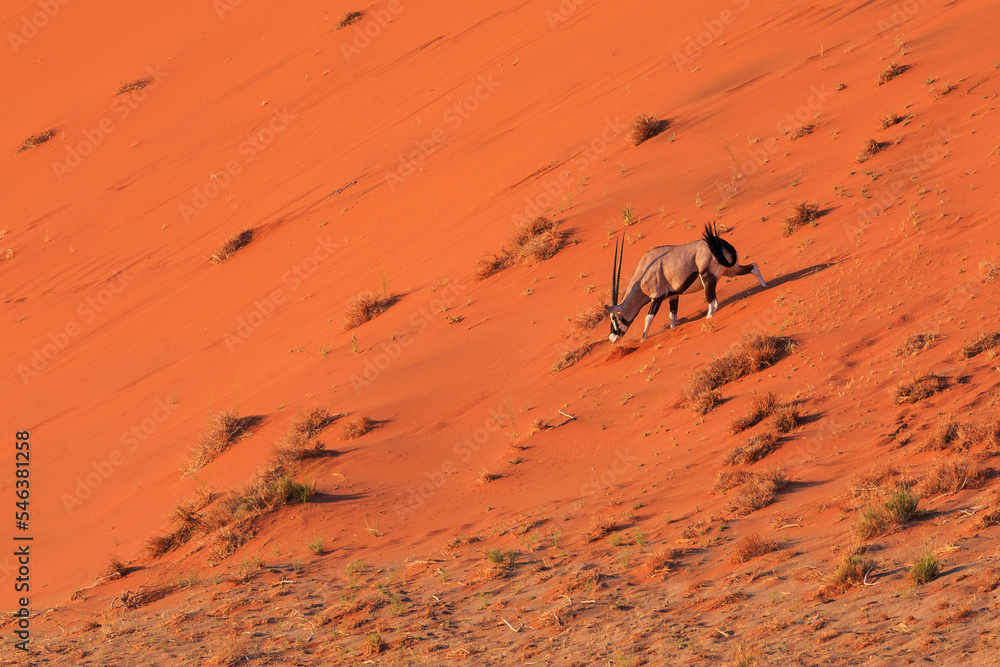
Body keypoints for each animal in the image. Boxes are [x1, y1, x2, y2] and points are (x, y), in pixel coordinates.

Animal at [606, 223, 767, 342]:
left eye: (614, 317)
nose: (612, 338)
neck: (642, 276)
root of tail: (721, 244)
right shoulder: (673, 295)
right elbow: (672, 316)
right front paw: (672, 330)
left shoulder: (657, 297)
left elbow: (648, 318)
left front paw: (642, 340)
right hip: (731, 270)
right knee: (753, 267)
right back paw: (765, 286)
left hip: (708, 279)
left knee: (713, 303)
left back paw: (708, 320)